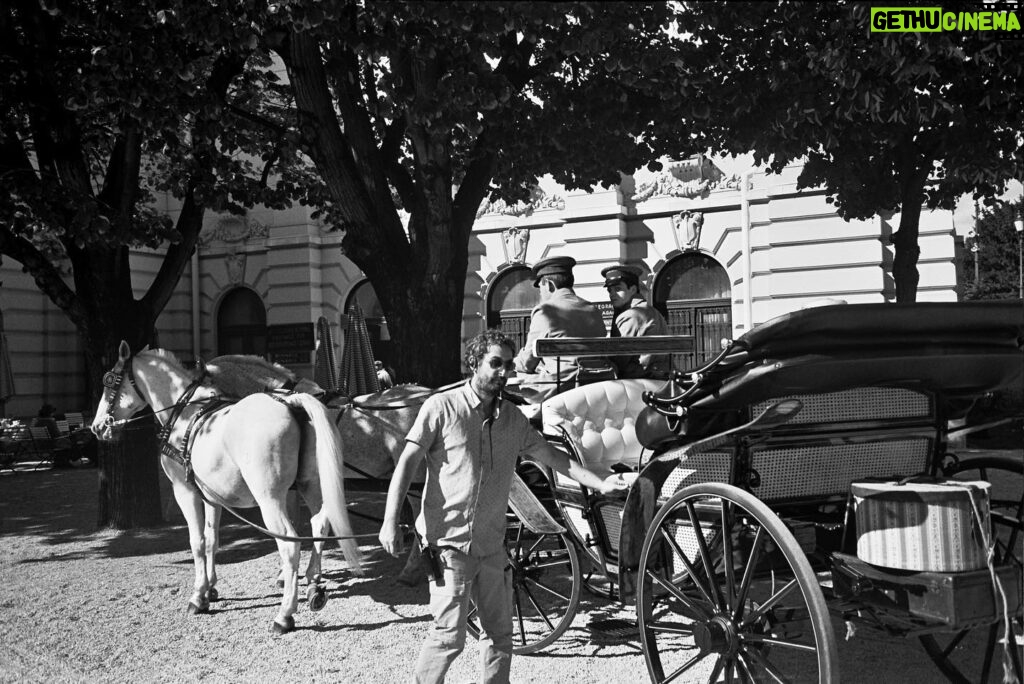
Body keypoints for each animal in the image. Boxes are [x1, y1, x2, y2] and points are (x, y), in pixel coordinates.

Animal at [92, 344, 364, 634]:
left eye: (109, 380)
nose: (96, 426)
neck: (185, 413)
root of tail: (292, 403)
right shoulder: (212, 497)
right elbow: (212, 539)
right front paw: (210, 588)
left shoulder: (185, 492)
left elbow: (197, 542)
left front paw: (198, 595)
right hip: (310, 485)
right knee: (319, 524)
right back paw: (314, 585)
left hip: (270, 499)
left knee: (290, 543)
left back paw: (284, 615)